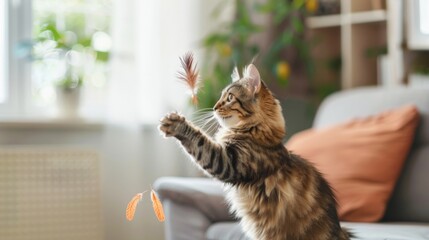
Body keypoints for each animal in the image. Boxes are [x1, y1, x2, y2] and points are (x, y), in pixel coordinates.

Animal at [159, 64, 352, 240]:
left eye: (230, 98)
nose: (214, 107)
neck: (256, 132)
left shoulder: (228, 162)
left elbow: (199, 140)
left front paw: (176, 124)